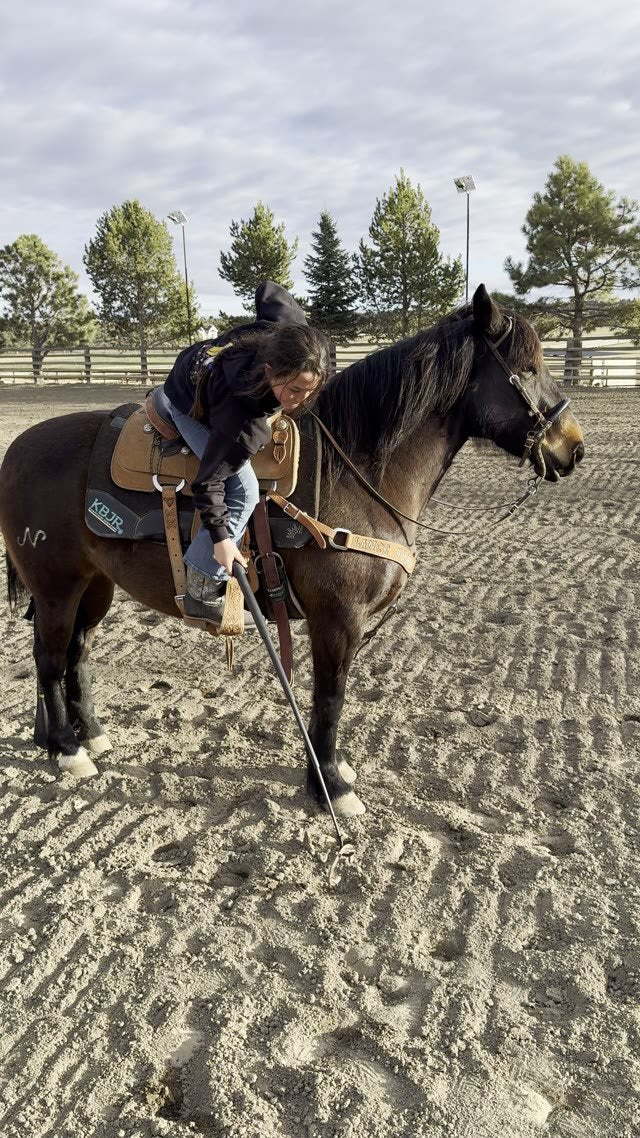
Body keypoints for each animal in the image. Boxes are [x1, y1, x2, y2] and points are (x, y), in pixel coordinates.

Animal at [0, 286, 584, 817]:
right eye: (528, 367)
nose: (574, 448)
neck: (359, 472)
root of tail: (16, 449)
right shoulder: (337, 618)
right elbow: (329, 697)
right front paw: (332, 787)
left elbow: (332, 698)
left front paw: (331, 769)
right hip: (55, 587)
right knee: (49, 657)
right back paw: (68, 750)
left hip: (95, 585)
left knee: (77, 654)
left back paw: (87, 734)